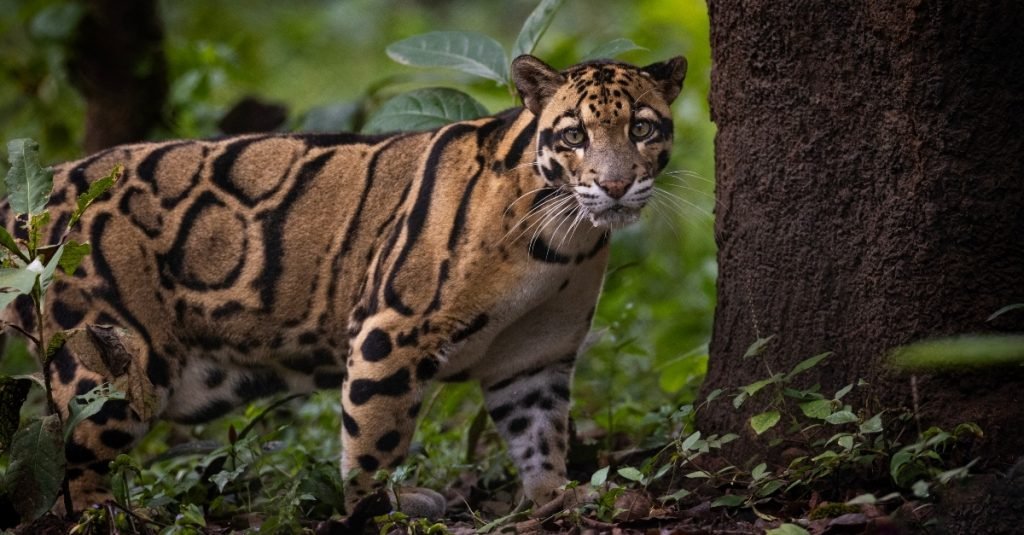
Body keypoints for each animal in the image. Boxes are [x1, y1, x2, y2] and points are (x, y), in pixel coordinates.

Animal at [1, 53, 687, 518]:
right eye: (574, 135)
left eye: (643, 129)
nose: (617, 185)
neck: (562, 243)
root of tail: (46, 187)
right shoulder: (392, 329)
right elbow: (374, 434)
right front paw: (378, 508)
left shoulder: (535, 357)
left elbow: (540, 434)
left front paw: (555, 498)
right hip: (112, 363)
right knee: (71, 459)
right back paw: (107, 515)